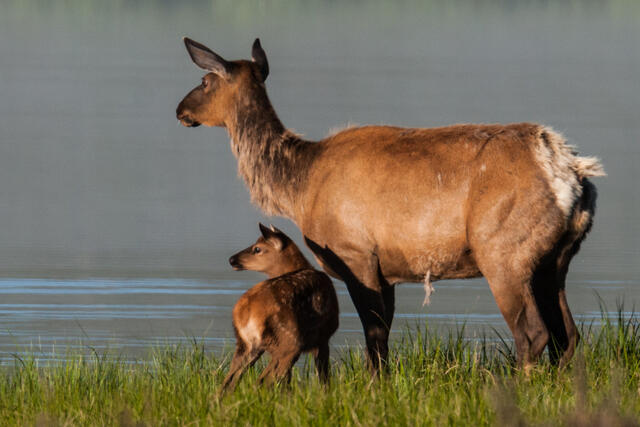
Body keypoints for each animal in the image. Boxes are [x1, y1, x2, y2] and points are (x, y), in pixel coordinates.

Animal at [176, 37, 604, 372]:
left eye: (204, 81)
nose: (180, 110)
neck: (300, 186)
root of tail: (570, 171)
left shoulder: (355, 252)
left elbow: (373, 333)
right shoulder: (388, 268)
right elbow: (382, 336)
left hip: (502, 249)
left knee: (533, 333)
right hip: (556, 258)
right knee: (568, 335)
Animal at [221, 224, 338, 392]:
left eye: (257, 248)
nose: (232, 260)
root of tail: (244, 312)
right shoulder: (324, 336)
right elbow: (323, 376)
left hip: (246, 344)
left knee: (228, 382)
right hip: (288, 341)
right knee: (264, 380)